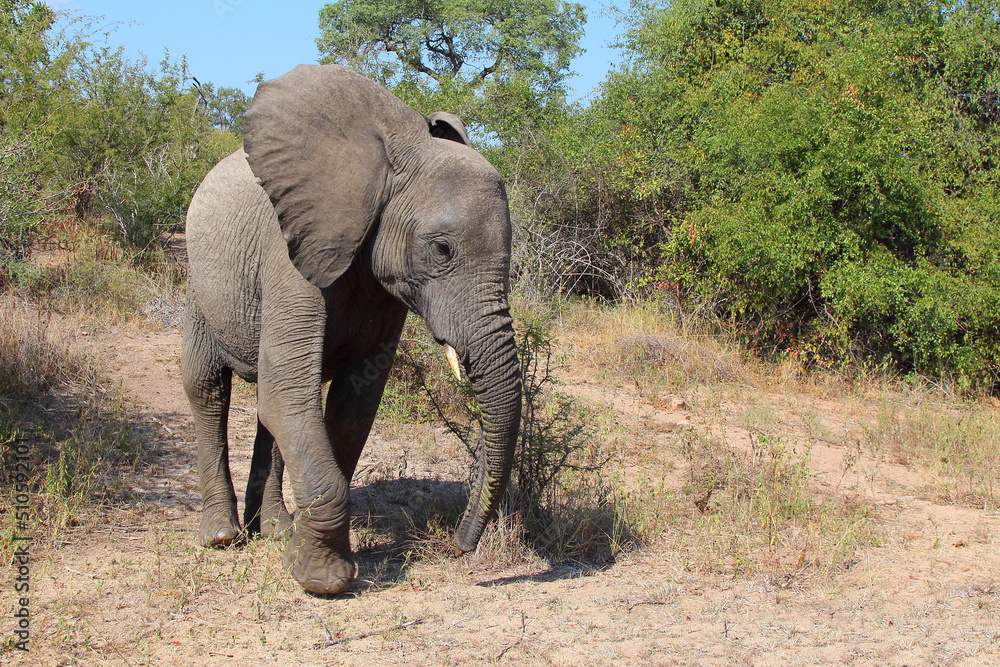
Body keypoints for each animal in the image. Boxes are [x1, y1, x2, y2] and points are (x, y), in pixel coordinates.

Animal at [181, 64, 522, 595]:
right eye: (441, 250)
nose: (458, 546)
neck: (391, 158)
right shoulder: (289, 257)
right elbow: (289, 392)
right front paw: (325, 581)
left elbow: (351, 405)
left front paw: (298, 553)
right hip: (197, 280)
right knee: (208, 388)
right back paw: (222, 536)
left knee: (271, 407)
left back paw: (272, 529)